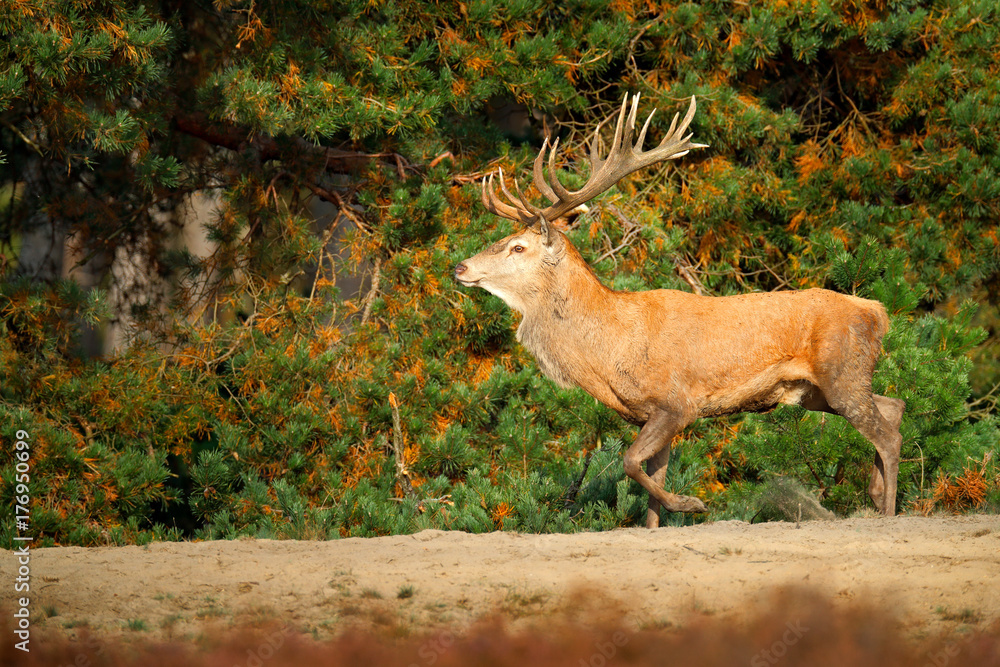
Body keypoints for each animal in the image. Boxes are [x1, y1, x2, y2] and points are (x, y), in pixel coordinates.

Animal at [454, 93, 905, 528]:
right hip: (819, 390)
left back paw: (887, 511)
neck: (611, 350)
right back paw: (875, 494)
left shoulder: (677, 403)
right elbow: (651, 485)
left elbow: (630, 463)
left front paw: (693, 504)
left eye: (518, 247)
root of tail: (877, 311)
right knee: (893, 406)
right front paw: (661, 521)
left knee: (886, 434)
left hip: (841, 372)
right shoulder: (648, 414)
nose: (460, 267)